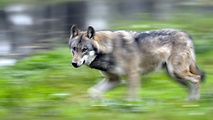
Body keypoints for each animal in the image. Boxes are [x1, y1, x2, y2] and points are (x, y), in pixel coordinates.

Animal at [68, 24, 205, 101]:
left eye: (84, 49)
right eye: (74, 49)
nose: (74, 63)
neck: (108, 49)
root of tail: (186, 34)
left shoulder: (133, 74)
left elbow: (131, 97)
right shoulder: (114, 80)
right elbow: (93, 91)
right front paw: (98, 103)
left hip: (177, 72)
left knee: (197, 79)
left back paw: (195, 101)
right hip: (174, 76)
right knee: (190, 85)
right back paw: (188, 101)